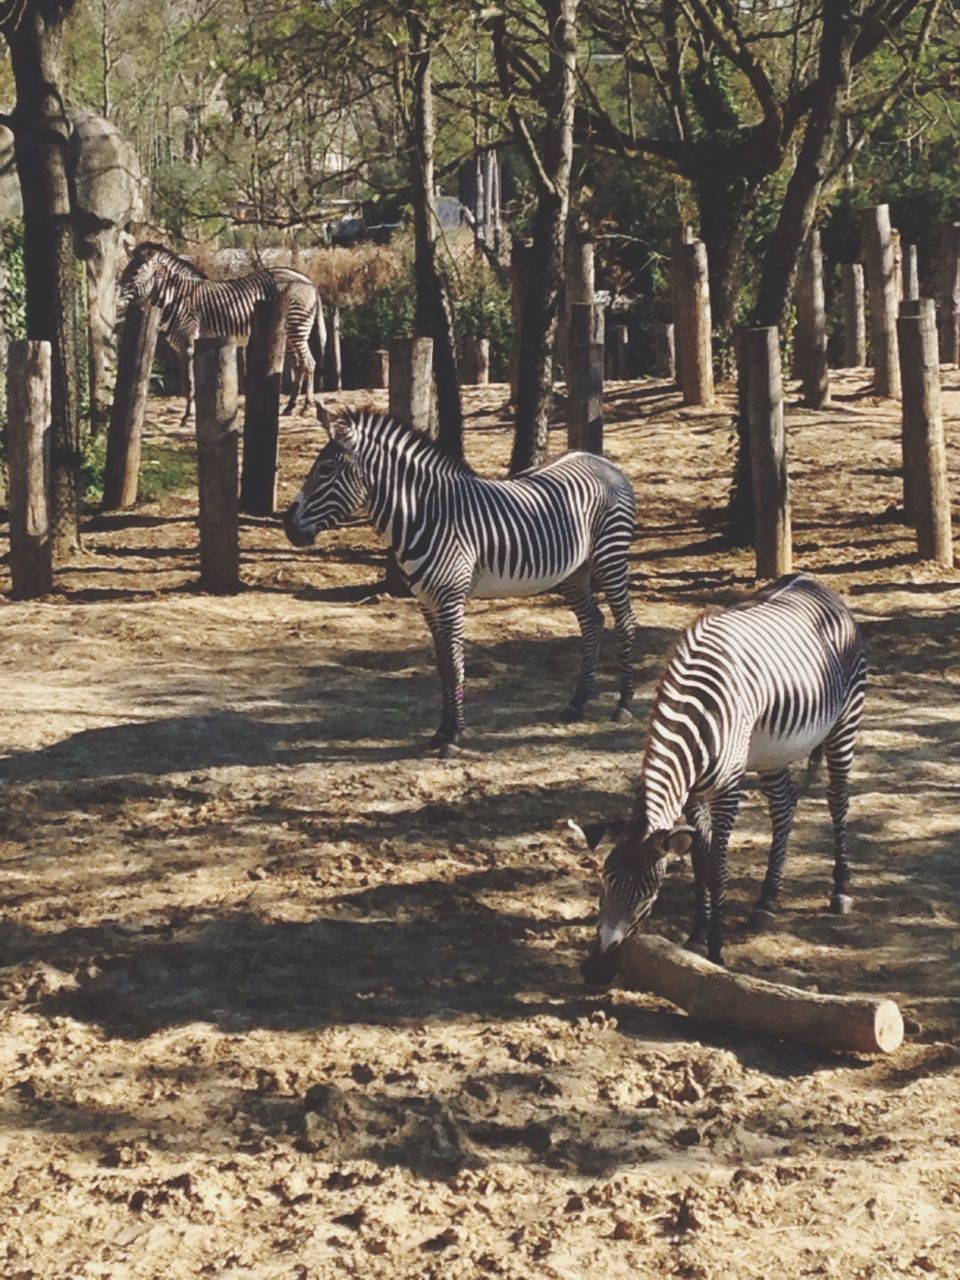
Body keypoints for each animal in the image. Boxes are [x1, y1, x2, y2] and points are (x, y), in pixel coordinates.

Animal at [115, 238, 327, 422]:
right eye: (125, 269)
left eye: (136, 272)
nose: (116, 297)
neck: (177, 297)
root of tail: (307, 280)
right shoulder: (181, 347)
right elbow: (190, 382)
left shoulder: (188, 342)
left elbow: (190, 382)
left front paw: (188, 416)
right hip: (289, 333)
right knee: (299, 364)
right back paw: (290, 406)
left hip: (297, 327)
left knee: (310, 362)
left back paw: (306, 406)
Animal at [285, 409, 647, 747]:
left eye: (325, 470)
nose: (289, 528)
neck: (424, 515)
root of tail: (603, 462)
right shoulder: (427, 602)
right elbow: (443, 665)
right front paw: (441, 732)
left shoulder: (450, 597)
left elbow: (456, 663)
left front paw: (455, 735)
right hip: (575, 570)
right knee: (592, 622)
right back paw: (578, 702)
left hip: (610, 556)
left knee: (625, 621)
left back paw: (623, 704)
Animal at [578, 576, 870, 983]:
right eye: (604, 884)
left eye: (647, 896)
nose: (594, 972)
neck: (697, 716)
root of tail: (813, 583)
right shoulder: (694, 795)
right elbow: (700, 861)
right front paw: (697, 937)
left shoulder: (727, 790)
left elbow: (717, 868)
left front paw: (716, 950)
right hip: (771, 751)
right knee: (784, 806)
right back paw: (766, 900)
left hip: (845, 721)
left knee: (837, 800)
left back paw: (840, 890)